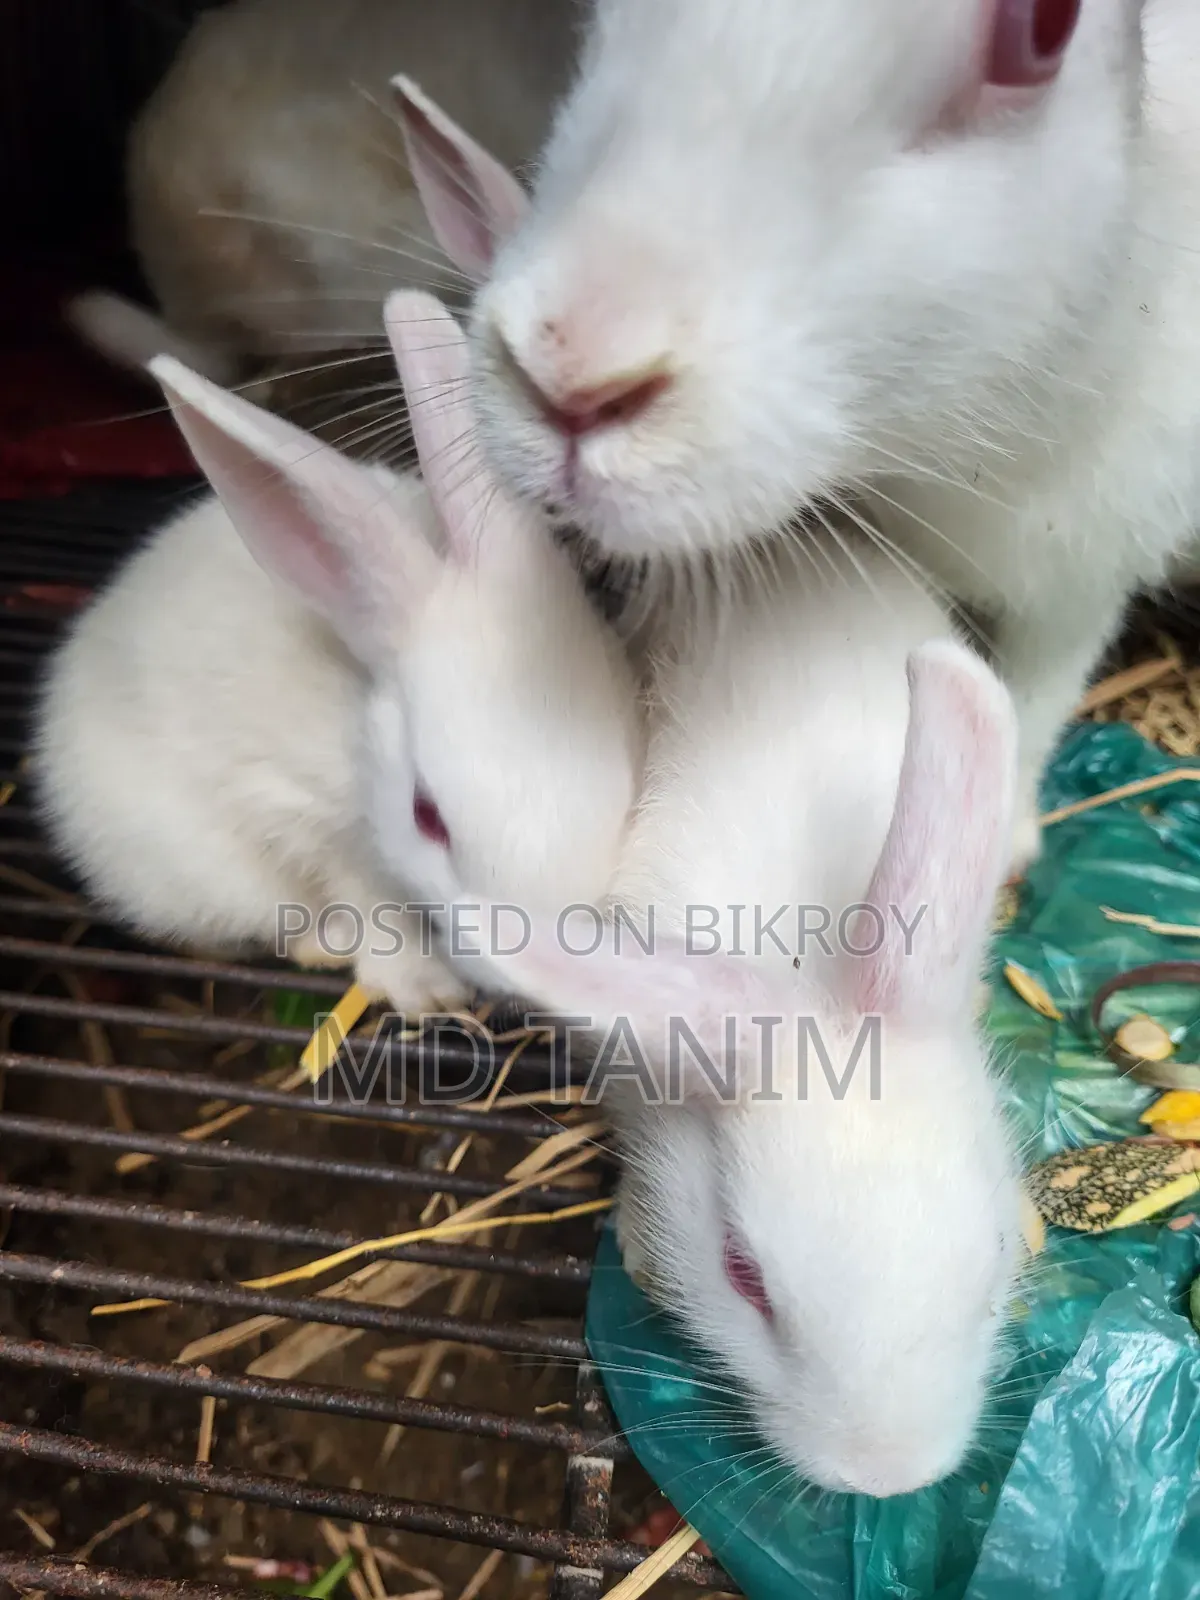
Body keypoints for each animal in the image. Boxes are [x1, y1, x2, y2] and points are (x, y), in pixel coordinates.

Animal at [33, 285, 642, 1018]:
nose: (527, 974)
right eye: (427, 818)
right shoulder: (304, 815)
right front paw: (425, 990)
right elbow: (367, 900)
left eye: (621, 781)